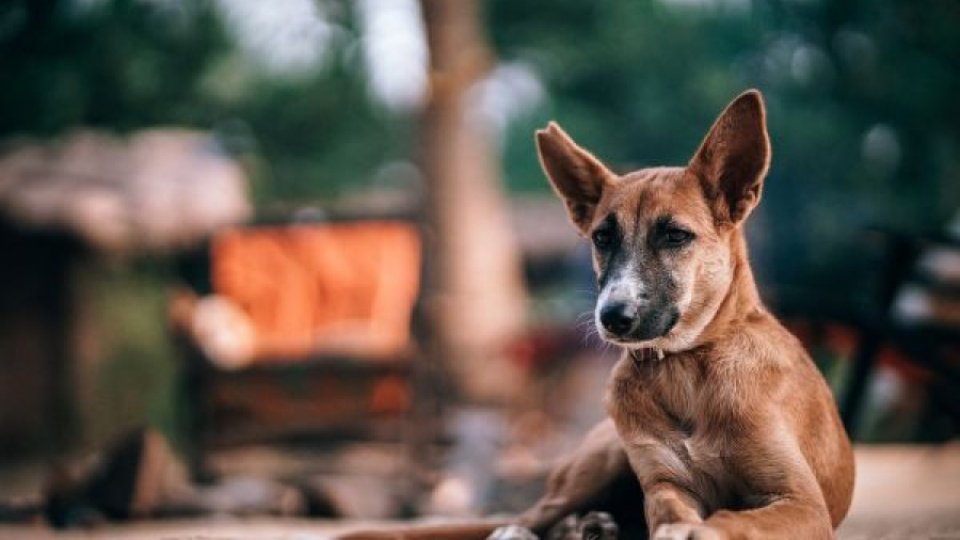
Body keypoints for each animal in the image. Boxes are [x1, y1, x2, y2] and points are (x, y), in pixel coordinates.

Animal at [338, 90, 856, 536]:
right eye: (603, 237)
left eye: (675, 236)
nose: (613, 317)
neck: (686, 368)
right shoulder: (665, 484)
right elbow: (671, 509)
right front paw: (677, 527)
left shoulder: (801, 502)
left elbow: (735, 517)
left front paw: (695, 531)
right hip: (604, 457)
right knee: (530, 516)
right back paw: (544, 530)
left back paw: (593, 528)